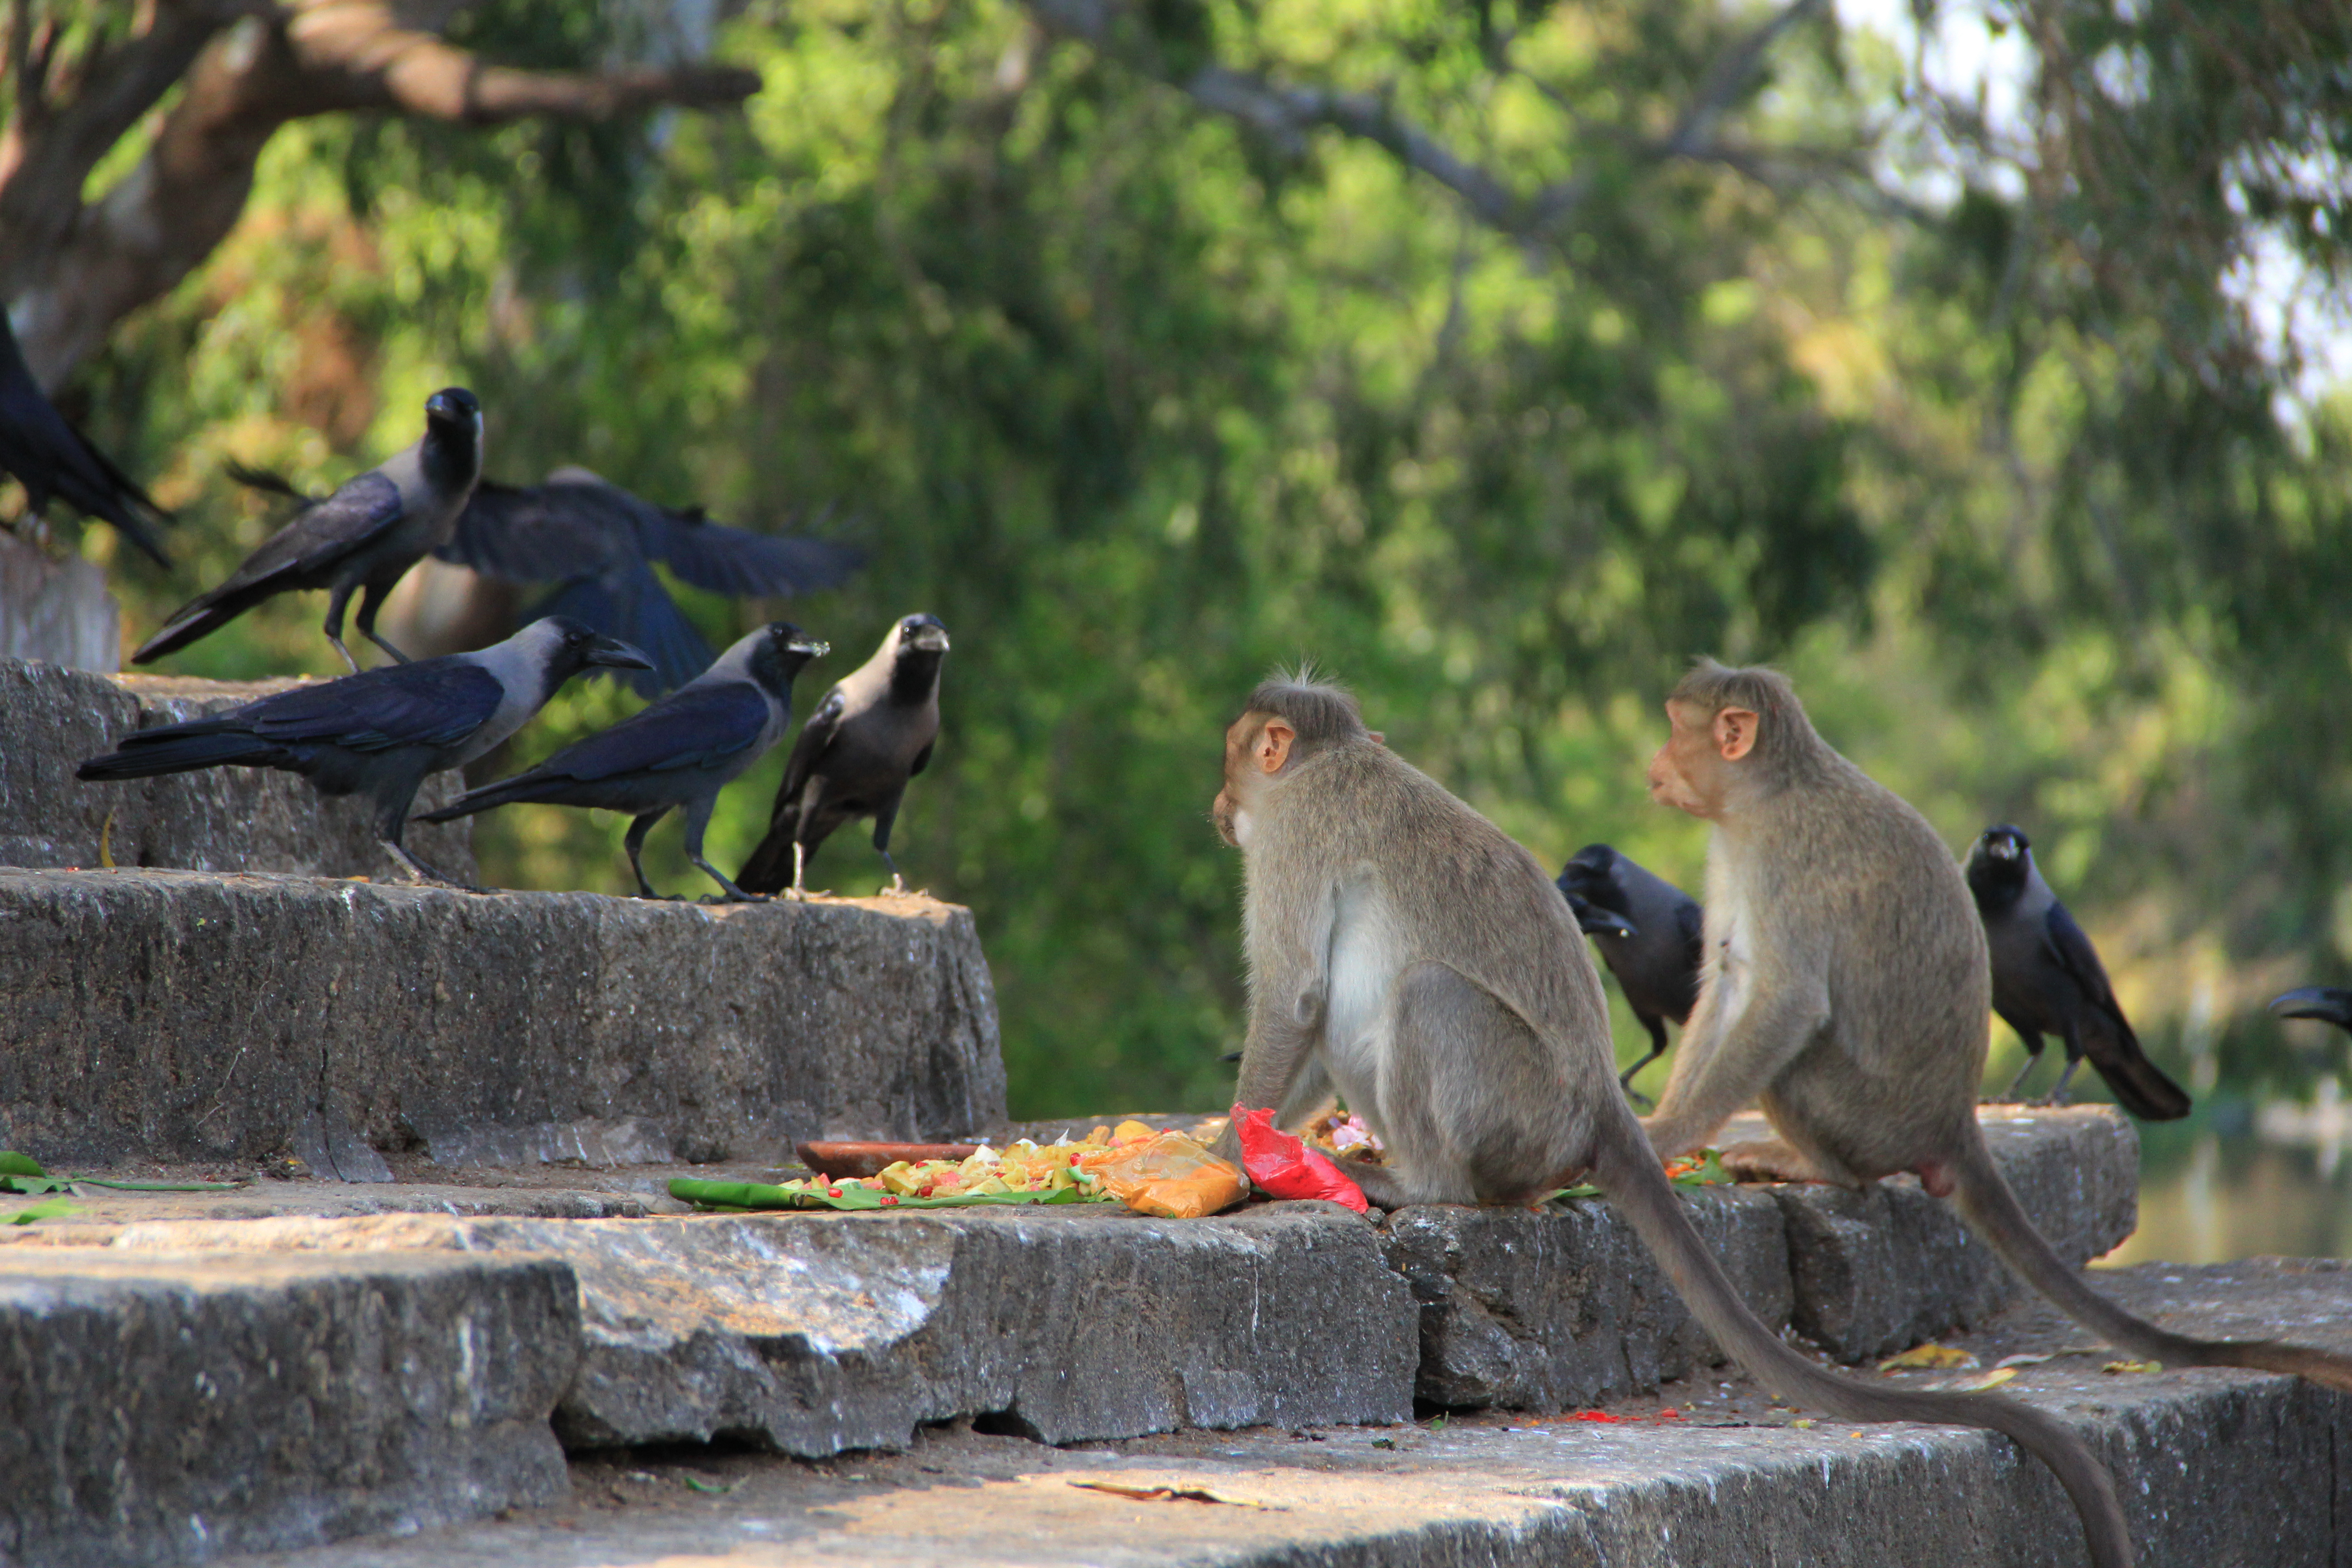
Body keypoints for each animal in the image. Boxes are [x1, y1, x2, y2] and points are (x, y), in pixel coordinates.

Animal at [1213, 672, 2136, 1568]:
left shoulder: (1294, 835)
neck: (1327, 761)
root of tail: (1596, 1111)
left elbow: (1297, 995)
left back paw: (1415, 1179)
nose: (1220, 804)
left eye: (1233, 753)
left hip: (1514, 1104)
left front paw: (1228, 1154)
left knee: (1424, 994)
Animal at [1637, 658, 2352, 1401]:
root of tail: (1954, 1124)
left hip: (1865, 1116)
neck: (1768, 793)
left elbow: (1786, 1001)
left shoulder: (1786, 857)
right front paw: (1664, 1124)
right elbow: (1724, 981)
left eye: (1674, 726)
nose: (1653, 761)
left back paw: (1820, 1167)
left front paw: (1668, 1134)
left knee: (1802, 1073)